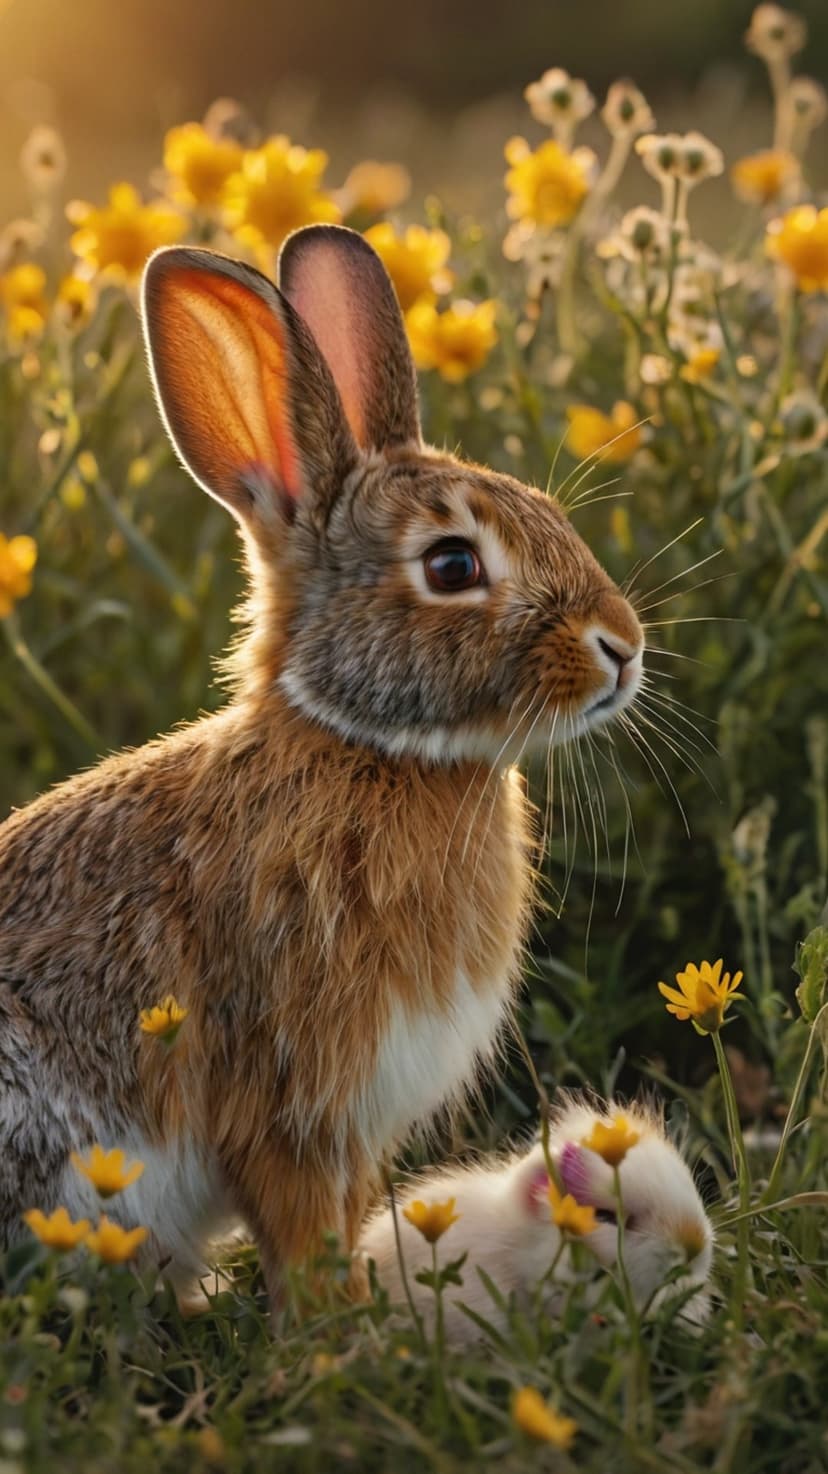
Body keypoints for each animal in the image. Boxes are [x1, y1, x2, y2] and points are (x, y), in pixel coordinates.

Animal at [0, 224, 644, 1308]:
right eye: (453, 565)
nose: (624, 647)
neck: (367, 746)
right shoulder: (291, 1097)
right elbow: (301, 1231)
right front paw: (332, 1327)